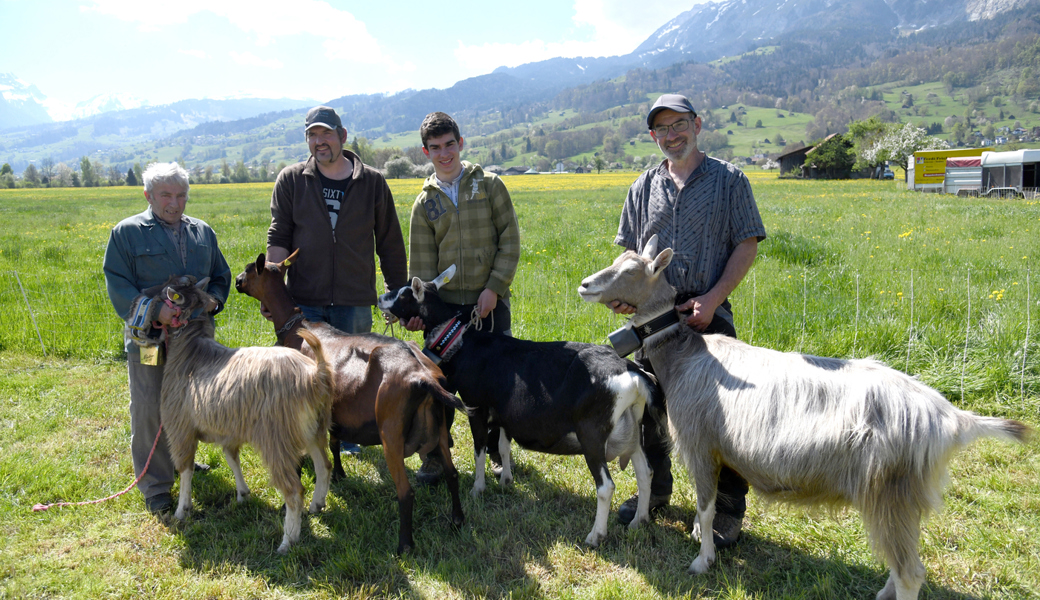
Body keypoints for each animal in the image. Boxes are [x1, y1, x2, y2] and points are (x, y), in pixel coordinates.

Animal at [143, 274, 332, 553]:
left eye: (165, 296)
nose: (146, 301)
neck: (190, 349)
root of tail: (314, 376)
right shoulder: (229, 429)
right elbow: (231, 459)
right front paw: (243, 494)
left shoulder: (180, 427)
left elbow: (185, 468)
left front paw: (182, 510)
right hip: (315, 429)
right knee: (324, 466)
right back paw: (316, 505)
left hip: (277, 438)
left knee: (294, 490)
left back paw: (287, 541)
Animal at [236, 251, 467, 553]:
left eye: (250, 269)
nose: (236, 281)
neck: (297, 327)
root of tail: (425, 378)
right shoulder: (335, 410)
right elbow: (334, 443)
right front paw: (339, 475)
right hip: (439, 429)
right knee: (452, 475)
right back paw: (457, 520)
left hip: (391, 433)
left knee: (405, 492)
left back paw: (404, 546)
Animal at [378, 264, 661, 544]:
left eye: (404, 294)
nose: (380, 298)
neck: (463, 344)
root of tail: (633, 374)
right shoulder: (505, 413)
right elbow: (503, 447)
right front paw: (506, 480)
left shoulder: (476, 407)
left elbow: (480, 449)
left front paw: (478, 489)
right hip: (633, 428)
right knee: (645, 472)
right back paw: (638, 521)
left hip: (592, 434)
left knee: (606, 486)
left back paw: (595, 536)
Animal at [578, 233, 1031, 598]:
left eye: (631, 270)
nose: (584, 285)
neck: (687, 355)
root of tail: (951, 418)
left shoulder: (700, 444)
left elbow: (706, 509)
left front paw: (702, 561)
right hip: (902, 497)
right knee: (902, 561)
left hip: (890, 490)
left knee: (911, 572)